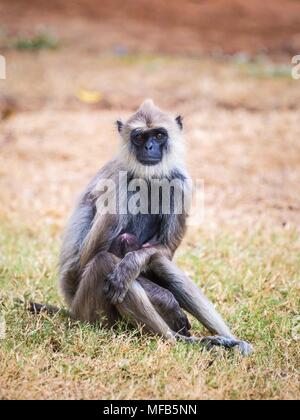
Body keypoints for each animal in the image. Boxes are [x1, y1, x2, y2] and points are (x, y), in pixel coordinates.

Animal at [59, 99, 252, 354]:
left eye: (159, 135)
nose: (149, 147)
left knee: (156, 261)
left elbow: (163, 250)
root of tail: (71, 306)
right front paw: (168, 303)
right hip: (90, 312)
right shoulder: (118, 182)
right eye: (140, 137)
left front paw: (132, 264)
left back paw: (227, 339)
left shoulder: (181, 183)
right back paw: (183, 340)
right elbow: (89, 259)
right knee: (104, 262)